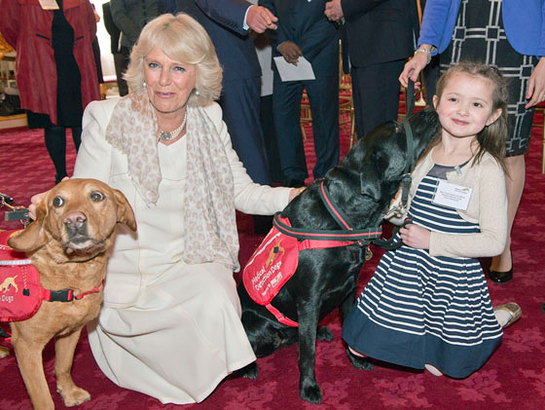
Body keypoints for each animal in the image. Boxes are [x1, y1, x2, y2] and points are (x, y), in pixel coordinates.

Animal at [0, 179, 136, 410]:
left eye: (97, 196)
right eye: (58, 201)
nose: (73, 221)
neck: (73, 272)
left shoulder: (71, 332)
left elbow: (63, 365)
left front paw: (69, 393)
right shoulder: (27, 346)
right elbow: (42, 397)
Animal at [238, 108, 442, 404]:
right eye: (396, 128)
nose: (429, 109)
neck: (345, 216)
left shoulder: (349, 286)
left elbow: (345, 327)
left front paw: (354, 358)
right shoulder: (309, 299)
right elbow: (308, 353)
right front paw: (308, 386)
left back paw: (320, 330)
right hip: (254, 323)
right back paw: (249, 366)